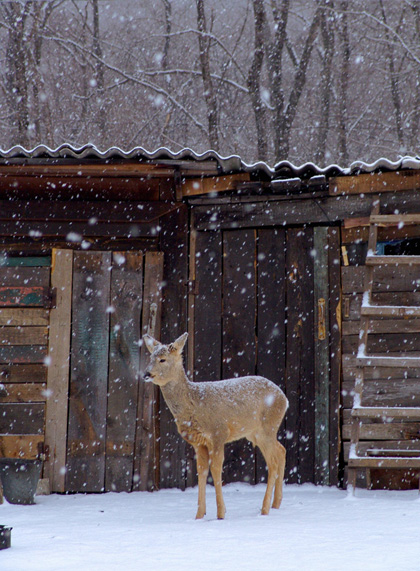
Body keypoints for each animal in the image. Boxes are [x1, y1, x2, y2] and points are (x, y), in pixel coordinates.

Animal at [143, 332, 288, 520]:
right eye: (150, 357)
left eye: (162, 359)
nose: (146, 373)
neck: (194, 404)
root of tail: (284, 399)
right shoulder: (198, 442)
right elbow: (202, 471)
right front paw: (199, 515)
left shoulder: (218, 432)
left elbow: (216, 469)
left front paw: (220, 513)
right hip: (256, 432)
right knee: (281, 450)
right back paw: (276, 504)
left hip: (267, 427)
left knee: (273, 463)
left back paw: (264, 509)